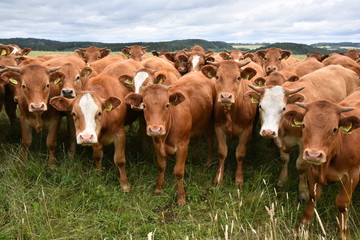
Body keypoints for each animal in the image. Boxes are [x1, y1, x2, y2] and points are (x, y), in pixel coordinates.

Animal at [124, 71, 214, 204]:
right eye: (144, 105)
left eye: (167, 105)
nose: (155, 129)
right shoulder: (156, 143)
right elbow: (161, 166)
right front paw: (158, 188)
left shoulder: (183, 145)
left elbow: (179, 171)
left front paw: (181, 197)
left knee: (209, 139)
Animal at [202, 60, 258, 188]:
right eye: (217, 76)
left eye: (238, 77)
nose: (226, 97)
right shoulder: (218, 127)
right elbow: (222, 152)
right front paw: (218, 178)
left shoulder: (247, 129)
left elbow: (240, 153)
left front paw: (239, 179)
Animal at [286, 96, 360, 239]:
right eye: (304, 125)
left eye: (334, 129)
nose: (314, 155)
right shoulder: (312, 169)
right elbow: (313, 195)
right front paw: (304, 225)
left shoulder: (353, 174)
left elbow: (342, 204)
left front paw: (343, 233)